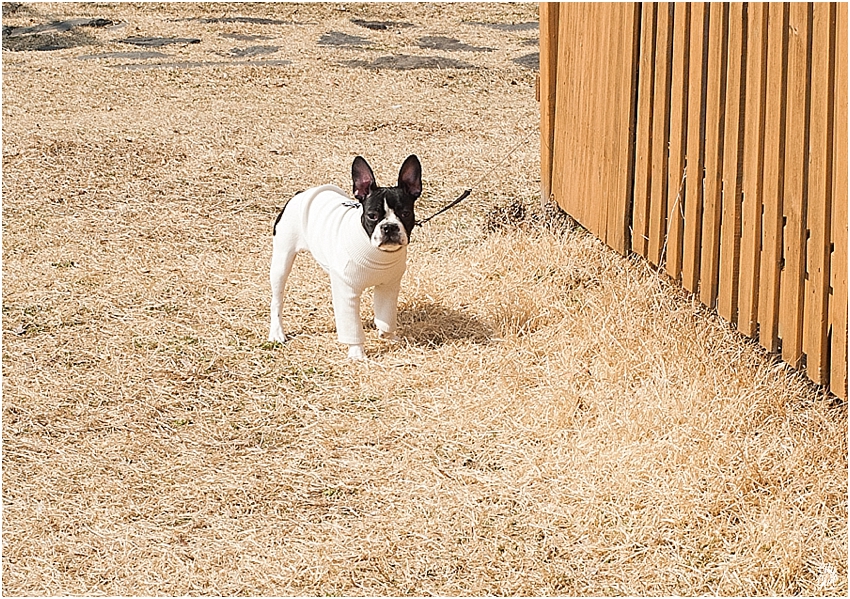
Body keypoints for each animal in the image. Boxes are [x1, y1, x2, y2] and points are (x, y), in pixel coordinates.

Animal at [268, 156, 420, 360]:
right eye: (372, 216)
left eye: (405, 214)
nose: (389, 227)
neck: (377, 254)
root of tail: (301, 194)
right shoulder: (347, 291)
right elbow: (352, 327)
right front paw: (357, 354)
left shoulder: (388, 286)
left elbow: (386, 315)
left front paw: (389, 336)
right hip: (282, 261)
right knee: (277, 300)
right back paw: (277, 332)